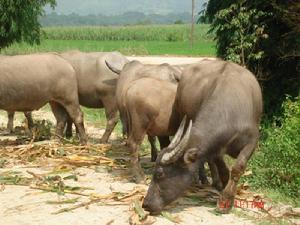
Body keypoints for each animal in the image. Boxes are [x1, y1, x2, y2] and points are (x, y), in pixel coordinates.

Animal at [143, 59, 262, 214]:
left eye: (159, 174)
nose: (146, 204)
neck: (230, 114)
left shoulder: (252, 141)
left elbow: (238, 168)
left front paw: (227, 199)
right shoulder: (216, 148)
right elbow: (223, 170)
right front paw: (224, 194)